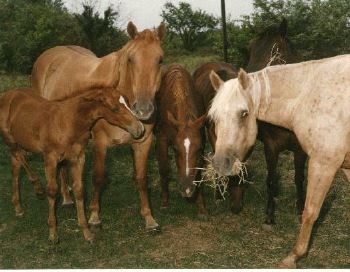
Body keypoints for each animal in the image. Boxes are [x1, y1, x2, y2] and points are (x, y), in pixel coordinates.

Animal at [0, 87, 144, 242]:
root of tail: (7, 94)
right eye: (115, 109)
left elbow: (79, 190)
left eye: (129, 104)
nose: (140, 129)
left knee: (15, 168)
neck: (69, 122)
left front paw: (87, 232)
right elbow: (52, 190)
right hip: (11, 140)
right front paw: (53, 233)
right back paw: (38, 189)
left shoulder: (78, 157)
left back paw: (18, 208)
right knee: (19, 156)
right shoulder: (50, 157)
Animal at [30, 21, 165, 232]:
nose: (143, 110)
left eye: (160, 60)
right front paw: (94, 216)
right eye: (130, 59)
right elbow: (98, 177)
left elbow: (142, 179)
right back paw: (66, 198)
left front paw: (149, 218)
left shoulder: (143, 142)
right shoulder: (100, 143)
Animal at [156, 63, 208, 217]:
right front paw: (164, 202)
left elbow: (199, 171)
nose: (186, 188)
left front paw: (201, 206)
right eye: (175, 148)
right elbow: (164, 169)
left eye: (198, 149)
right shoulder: (162, 139)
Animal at [191, 19, 306, 225]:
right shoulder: (271, 146)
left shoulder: (299, 148)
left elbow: (299, 178)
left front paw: (301, 211)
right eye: (251, 49)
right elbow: (270, 179)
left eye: (275, 51)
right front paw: (269, 216)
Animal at [208, 55, 350, 268]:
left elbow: (309, 211)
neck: (310, 94)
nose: (221, 164)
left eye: (244, 113)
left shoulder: (323, 163)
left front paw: (294, 256)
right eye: (213, 116)